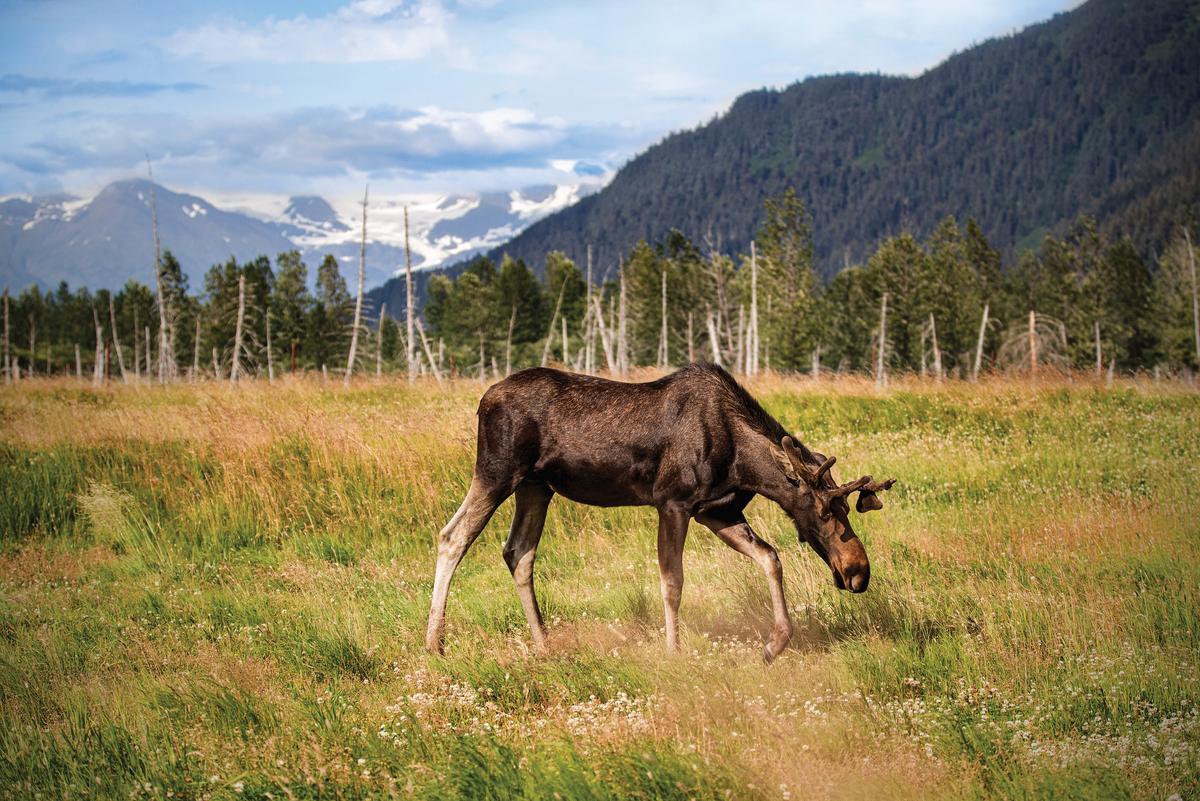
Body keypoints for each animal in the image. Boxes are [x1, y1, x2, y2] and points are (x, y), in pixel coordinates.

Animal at [424, 364, 892, 661]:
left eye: (846, 506)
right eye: (824, 509)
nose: (858, 571)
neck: (743, 464)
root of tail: (482, 401)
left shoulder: (716, 512)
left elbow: (770, 557)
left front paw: (775, 644)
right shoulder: (673, 503)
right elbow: (673, 582)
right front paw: (673, 651)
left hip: (537, 487)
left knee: (519, 552)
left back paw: (544, 645)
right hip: (497, 471)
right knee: (452, 536)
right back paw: (434, 645)